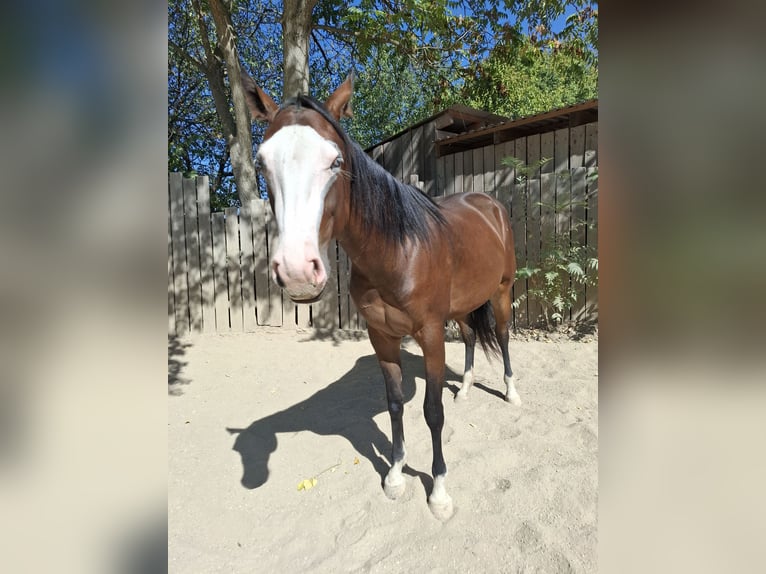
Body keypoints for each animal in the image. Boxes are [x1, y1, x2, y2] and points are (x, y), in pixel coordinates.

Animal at [241, 72, 519, 521]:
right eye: (262, 163)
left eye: (336, 162)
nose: (298, 272)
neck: (398, 251)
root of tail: (488, 204)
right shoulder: (382, 337)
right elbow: (394, 404)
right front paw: (395, 475)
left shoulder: (430, 334)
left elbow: (432, 412)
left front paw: (439, 492)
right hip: (462, 307)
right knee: (471, 337)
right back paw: (465, 387)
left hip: (501, 292)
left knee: (505, 336)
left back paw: (511, 393)